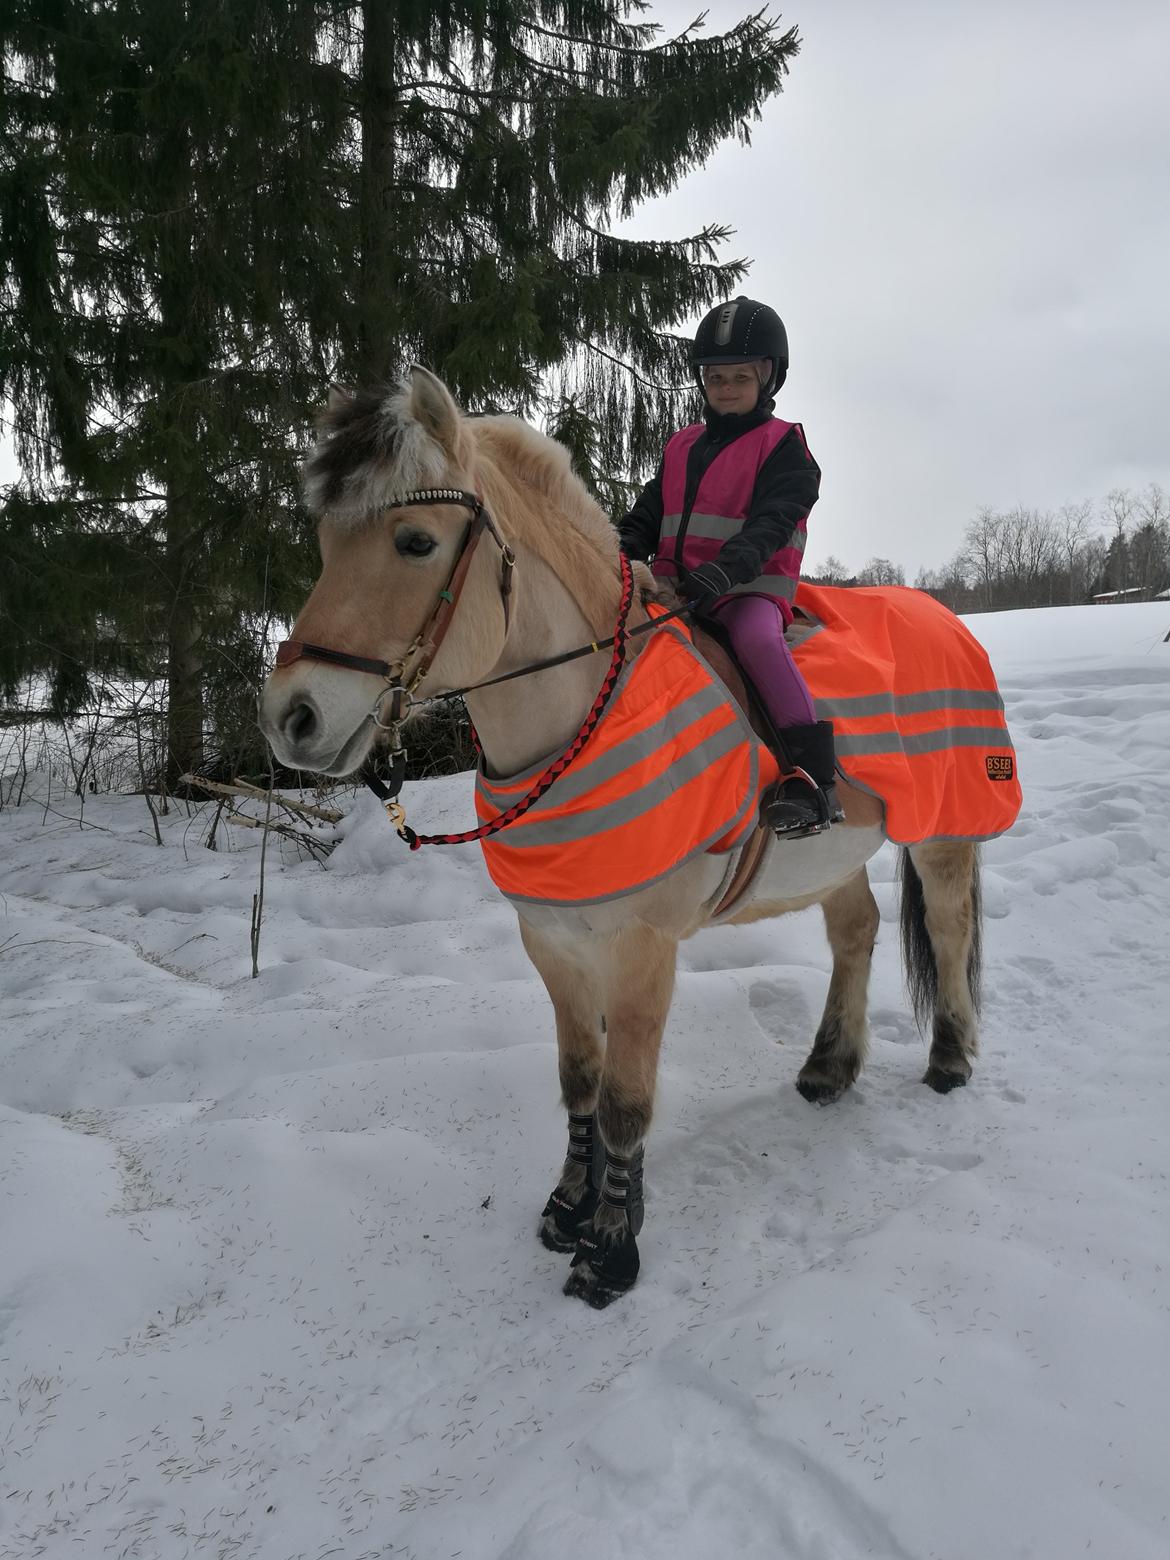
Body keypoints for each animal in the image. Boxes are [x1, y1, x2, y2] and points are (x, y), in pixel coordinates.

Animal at [260, 365, 1004, 1304]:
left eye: (416, 542)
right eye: (325, 543)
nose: (291, 718)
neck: (584, 720)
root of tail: (946, 619)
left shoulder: (643, 947)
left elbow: (624, 1099)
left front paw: (611, 1249)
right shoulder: (552, 940)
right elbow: (580, 1081)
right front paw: (567, 1208)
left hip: (944, 834)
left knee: (947, 929)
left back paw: (950, 1060)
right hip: (830, 857)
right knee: (856, 933)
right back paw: (829, 1069)